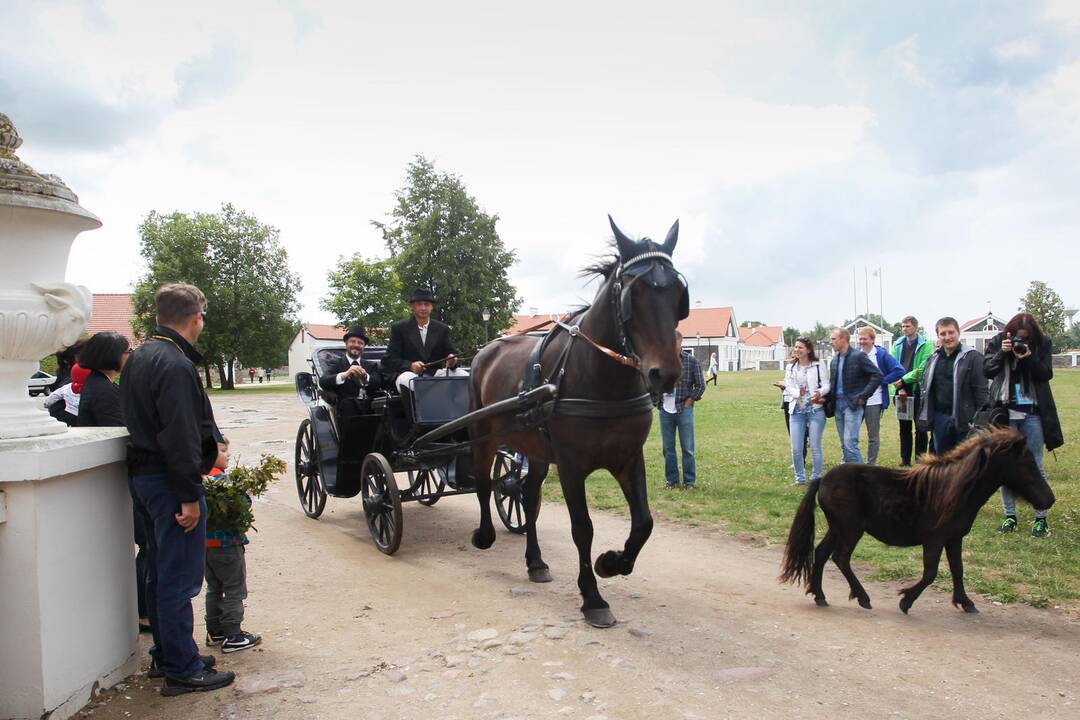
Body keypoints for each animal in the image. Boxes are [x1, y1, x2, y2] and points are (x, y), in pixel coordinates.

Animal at [468, 216, 686, 626]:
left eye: (680, 294)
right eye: (633, 294)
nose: (664, 374)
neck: (602, 380)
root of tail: (486, 349)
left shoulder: (628, 458)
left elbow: (644, 523)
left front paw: (612, 563)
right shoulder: (571, 466)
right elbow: (582, 528)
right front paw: (592, 596)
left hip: (535, 450)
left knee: (527, 496)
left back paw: (535, 562)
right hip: (484, 435)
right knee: (485, 484)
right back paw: (485, 535)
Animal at [781, 427, 1058, 613]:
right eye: (1027, 464)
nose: (1049, 499)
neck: (952, 490)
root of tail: (821, 480)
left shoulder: (954, 538)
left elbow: (958, 569)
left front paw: (966, 602)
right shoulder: (934, 539)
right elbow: (930, 573)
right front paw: (906, 600)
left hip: (838, 528)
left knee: (821, 553)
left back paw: (819, 595)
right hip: (850, 529)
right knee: (840, 557)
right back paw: (863, 598)